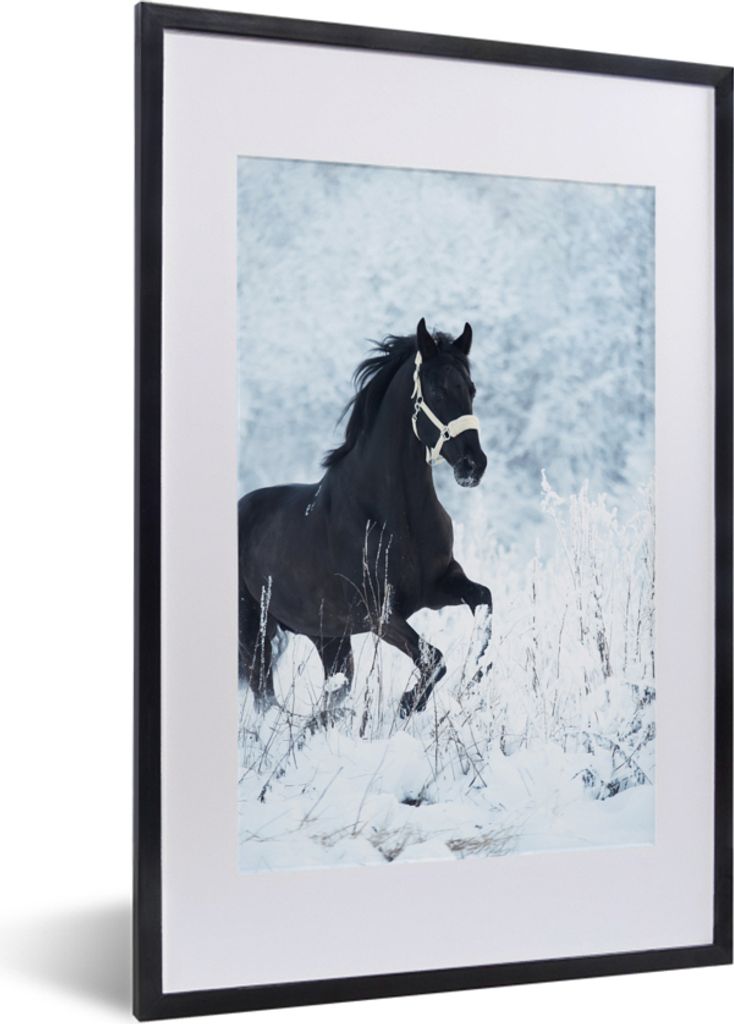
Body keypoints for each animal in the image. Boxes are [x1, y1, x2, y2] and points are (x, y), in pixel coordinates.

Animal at [238, 317, 493, 719]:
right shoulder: (378, 612)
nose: (473, 465)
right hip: (255, 631)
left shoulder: (440, 587)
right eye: (436, 391)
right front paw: (409, 703)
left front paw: (472, 680)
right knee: (266, 695)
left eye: (471, 388)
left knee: (332, 692)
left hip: (329, 638)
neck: (396, 515)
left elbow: (484, 601)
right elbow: (433, 658)